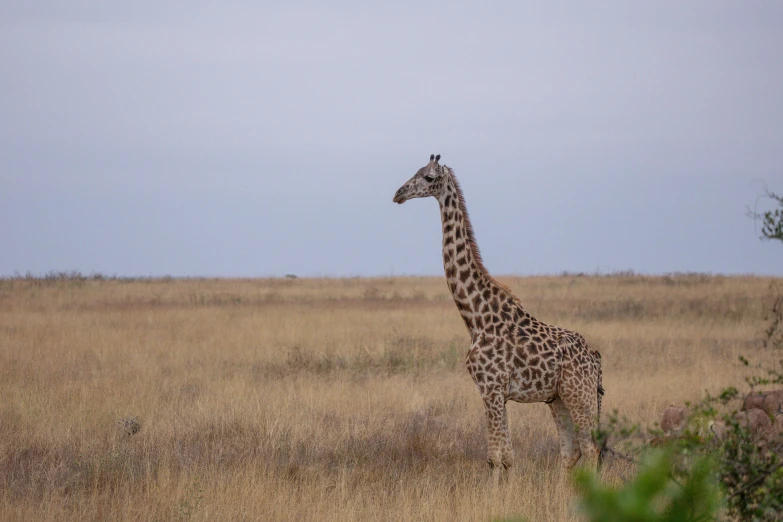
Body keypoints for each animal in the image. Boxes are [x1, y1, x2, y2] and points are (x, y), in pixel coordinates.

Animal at [392, 152, 608, 478]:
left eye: (428, 177)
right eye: (414, 171)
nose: (399, 194)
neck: (476, 317)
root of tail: (595, 358)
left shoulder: (491, 388)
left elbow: (495, 457)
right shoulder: (496, 393)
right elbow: (507, 457)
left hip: (579, 394)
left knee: (590, 448)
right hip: (557, 398)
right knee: (570, 452)